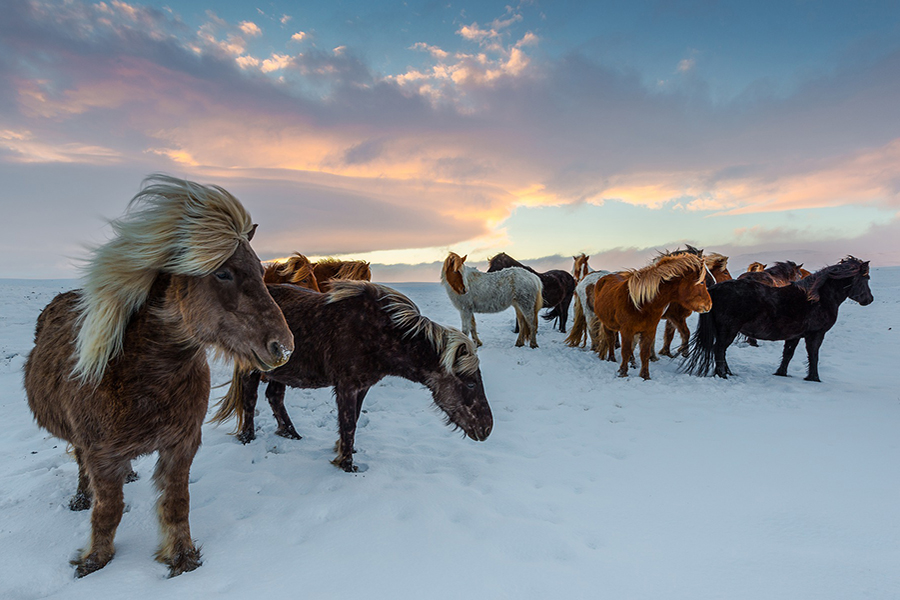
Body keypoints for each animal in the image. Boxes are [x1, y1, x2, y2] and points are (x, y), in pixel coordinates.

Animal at [22, 173, 292, 576]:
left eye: (262, 272)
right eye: (223, 272)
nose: (283, 347)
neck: (144, 378)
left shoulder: (181, 445)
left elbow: (176, 504)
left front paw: (182, 558)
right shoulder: (101, 455)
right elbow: (108, 510)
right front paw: (94, 561)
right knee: (81, 465)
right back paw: (81, 497)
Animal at [211, 282, 492, 474]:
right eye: (470, 382)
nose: (487, 429)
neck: (379, 332)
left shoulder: (362, 387)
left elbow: (353, 420)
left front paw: (346, 450)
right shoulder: (346, 386)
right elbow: (347, 423)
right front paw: (346, 464)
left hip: (280, 371)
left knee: (274, 397)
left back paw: (291, 435)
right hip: (251, 371)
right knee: (249, 400)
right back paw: (248, 437)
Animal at [684, 256, 872, 380]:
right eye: (867, 278)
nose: (869, 299)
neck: (817, 298)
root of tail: (714, 289)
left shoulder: (795, 336)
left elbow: (788, 354)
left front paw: (781, 373)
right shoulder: (816, 334)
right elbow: (814, 355)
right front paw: (814, 378)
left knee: (720, 351)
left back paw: (728, 373)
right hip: (728, 331)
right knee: (719, 350)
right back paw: (723, 375)